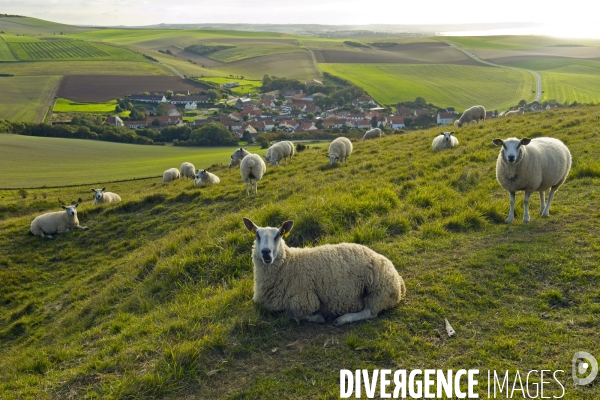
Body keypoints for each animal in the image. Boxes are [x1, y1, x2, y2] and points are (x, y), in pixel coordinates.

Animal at [241, 219, 406, 324]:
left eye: (279, 234)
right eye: (257, 235)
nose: (266, 253)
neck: (290, 263)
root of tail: (399, 281)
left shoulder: (305, 300)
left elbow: (292, 314)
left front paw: (318, 317)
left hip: (378, 292)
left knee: (370, 312)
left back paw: (343, 319)